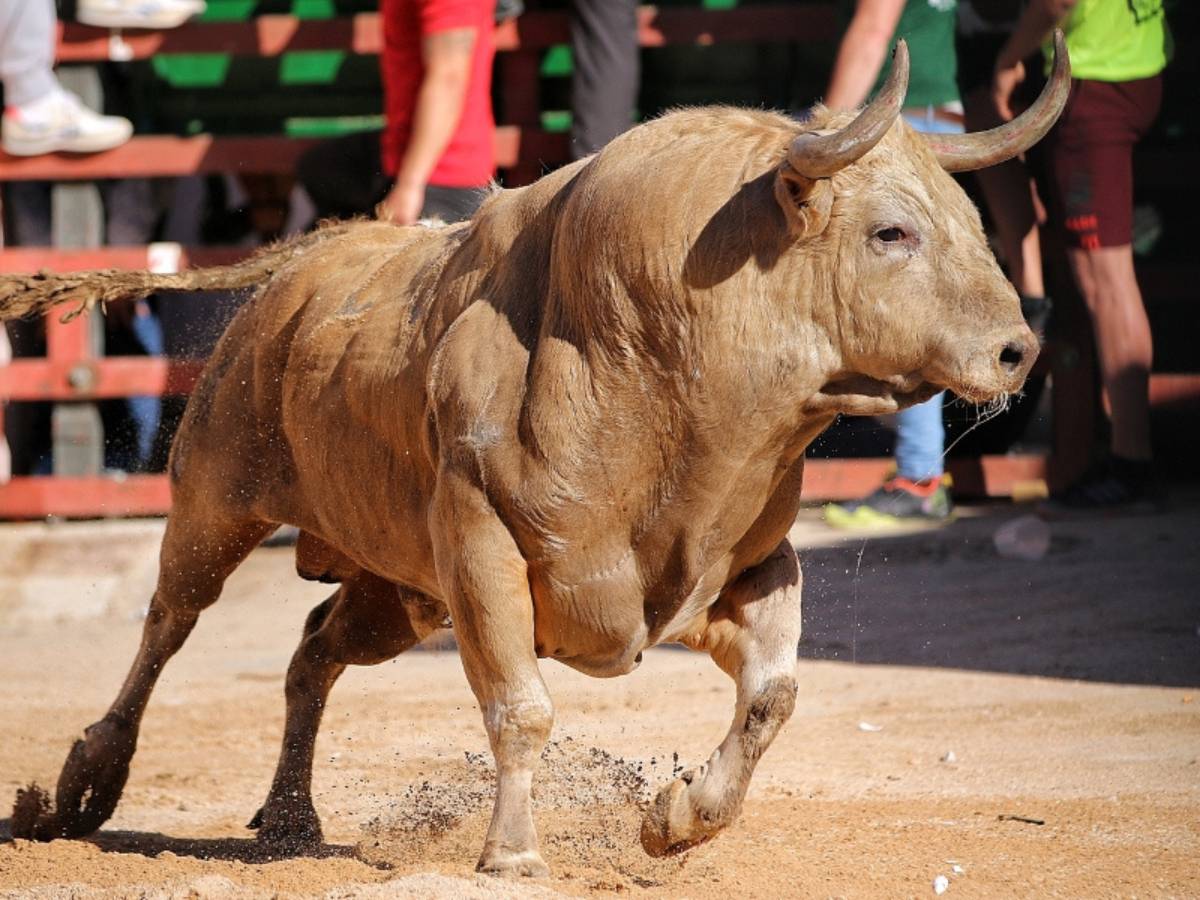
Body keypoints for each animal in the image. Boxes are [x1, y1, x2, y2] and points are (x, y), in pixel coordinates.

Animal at [0, 37, 1070, 883]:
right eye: (892, 231)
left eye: (974, 224)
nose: (1018, 350)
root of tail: (302, 264)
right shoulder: (481, 549)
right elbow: (521, 709)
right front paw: (513, 854)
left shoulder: (744, 568)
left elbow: (774, 694)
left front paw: (680, 817)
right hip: (218, 501)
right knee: (167, 625)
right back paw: (85, 785)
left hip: (399, 594)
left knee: (312, 652)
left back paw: (293, 820)